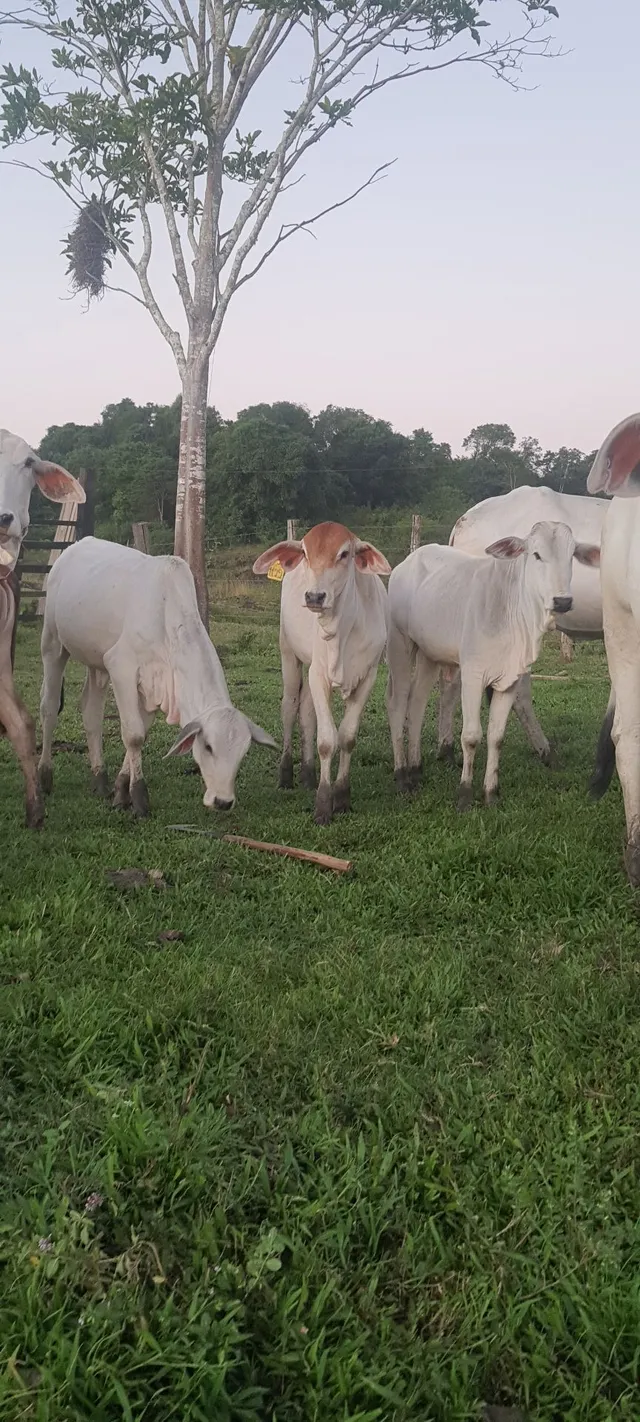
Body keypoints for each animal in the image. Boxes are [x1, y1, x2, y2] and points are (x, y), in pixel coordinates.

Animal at [38, 536, 276, 816]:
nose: (223, 801)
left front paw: (121, 790)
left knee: (91, 711)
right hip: (53, 644)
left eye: (243, 752)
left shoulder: (152, 686)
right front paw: (139, 797)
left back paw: (100, 779)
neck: (166, 616)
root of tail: (73, 548)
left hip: (96, 664)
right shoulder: (120, 667)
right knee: (49, 708)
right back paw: (44, 776)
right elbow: (134, 735)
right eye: (208, 746)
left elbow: (141, 733)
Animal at [252, 522, 391, 825]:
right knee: (290, 708)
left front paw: (342, 797)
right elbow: (327, 741)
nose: (314, 596)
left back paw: (308, 775)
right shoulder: (318, 675)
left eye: (344, 554)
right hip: (289, 655)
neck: (343, 627)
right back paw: (286, 775)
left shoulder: (368, 677)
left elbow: (347, 737)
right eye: (305, 553)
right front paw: (323, 805)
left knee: (306, 714)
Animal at [386, 521, 600, 810]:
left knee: (417, 703)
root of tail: (408, 561)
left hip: (430, 655)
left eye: (571, 555)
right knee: (398, 704)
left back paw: (416, 768)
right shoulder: (473, 676)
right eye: (536, 554)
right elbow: (471, 736)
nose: (563, 601)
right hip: (401, 645)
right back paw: (402, 776)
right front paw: (465, 794)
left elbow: (496, 737)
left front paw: (491, 793)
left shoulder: (509, 680)